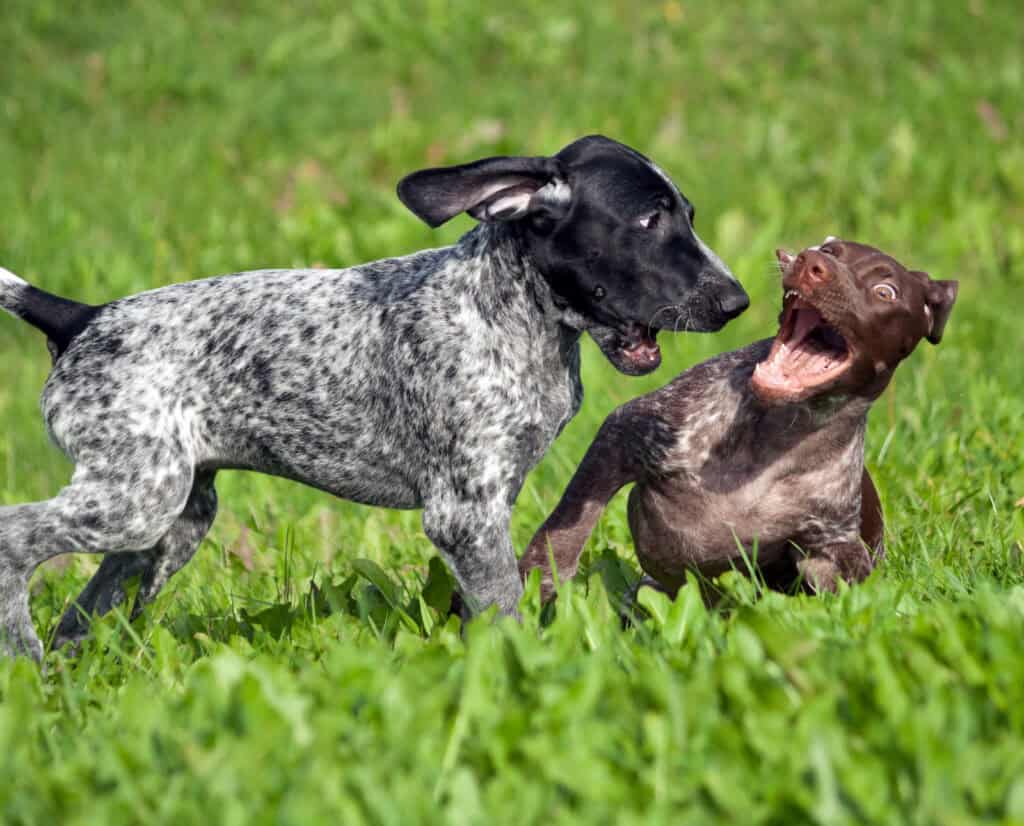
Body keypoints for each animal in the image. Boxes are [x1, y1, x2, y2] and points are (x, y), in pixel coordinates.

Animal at [0, 136, 745, 659]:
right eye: (649, 222)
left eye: (688, 217)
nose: (737, 302)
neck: (510, 311)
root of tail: (82, 318)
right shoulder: (463, 513)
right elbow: (503, 609)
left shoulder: (488, 508)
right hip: (136, 502)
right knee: (14, 537)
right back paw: (22, 657)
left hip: (168, 520)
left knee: (80, 616)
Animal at [520, 239, 958, 601]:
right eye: (829, 249)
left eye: (885, 292)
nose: (811, 262)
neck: (782, 436)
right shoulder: (624, 435)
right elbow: (562, 534)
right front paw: (531, 601)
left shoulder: (832, 546)